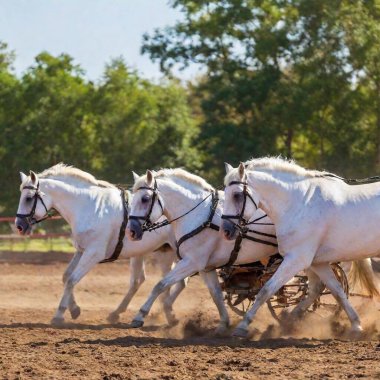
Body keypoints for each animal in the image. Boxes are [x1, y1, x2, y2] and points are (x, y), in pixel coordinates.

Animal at [15, 163, 186, 324]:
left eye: (28, 197)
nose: (19, 226)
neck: (89, 207)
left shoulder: (93, 253)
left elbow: (72, 280)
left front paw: (60, 314)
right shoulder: (81, 250)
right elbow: (66, 277)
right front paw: (74, 309)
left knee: (175, 282)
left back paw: (163, 312)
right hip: (162, 253)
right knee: (158, 282)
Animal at [125, 168, 374, 332]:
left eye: (145, 198)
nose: (132, 231)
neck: (202, 215)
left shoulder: (192, 262)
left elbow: (160, 284)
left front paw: (140, 316)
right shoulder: (205, 267)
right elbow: (216, 294)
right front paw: (223, 323)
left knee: (318, 288)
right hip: (310, 259)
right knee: (322, 287)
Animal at [223, 159, 380, 336]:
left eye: (236, 195)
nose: (226, 230)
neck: (300, 204)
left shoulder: (296, 259)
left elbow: (266, 290)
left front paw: (243, 326)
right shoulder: (317, 263)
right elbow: (335, 291)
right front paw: (356, 325)